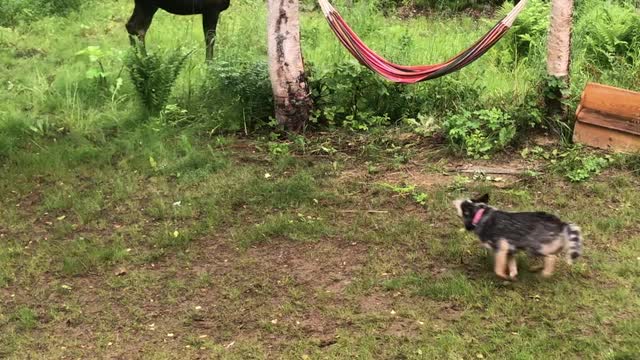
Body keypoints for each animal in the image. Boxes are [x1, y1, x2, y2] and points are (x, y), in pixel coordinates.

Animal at [452, 194, 584, 282]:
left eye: (463, 205)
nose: (455, 200)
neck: (481, 215)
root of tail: (561, 223)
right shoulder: (510, 251)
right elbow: (512, 267)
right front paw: (512, 276)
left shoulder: (501, 248)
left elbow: (498, 270)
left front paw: (505, 277)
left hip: (535, 247)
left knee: (552, 258)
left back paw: (544, 274)